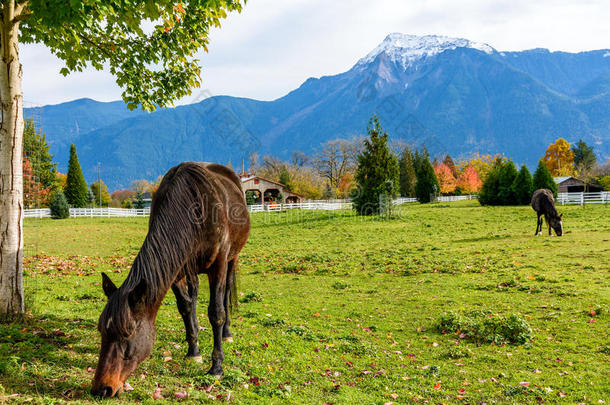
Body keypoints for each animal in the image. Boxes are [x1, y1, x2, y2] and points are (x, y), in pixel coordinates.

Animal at [88, 163, 249, 396]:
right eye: (101, 330)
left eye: (128, 332)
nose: (101, 389)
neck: (194, 209)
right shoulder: (175, 270)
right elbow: (185, 307)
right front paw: (193, 350)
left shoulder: (218, 265)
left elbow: (216, 313)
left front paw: (217, 366)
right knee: (193, 294)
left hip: (232, 259)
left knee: (226, 292)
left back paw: (226, 332)